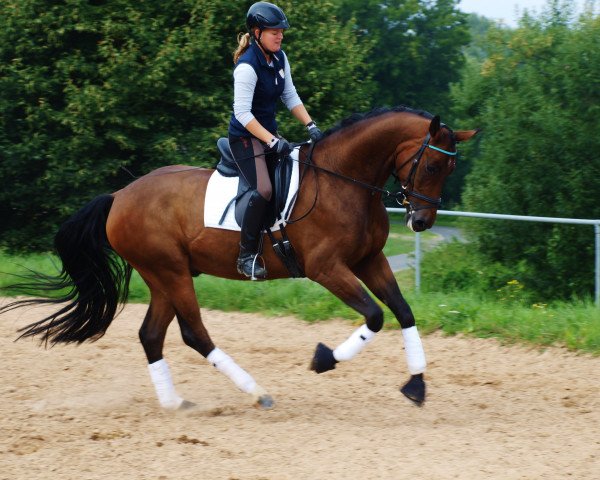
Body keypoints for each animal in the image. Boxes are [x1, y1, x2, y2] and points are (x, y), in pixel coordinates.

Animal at [0, 108, 478, 408]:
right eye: (432, 166)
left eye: (449, 169)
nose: (421, 221)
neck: (344, 180)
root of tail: (119, 196)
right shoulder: (327, 269)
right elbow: (376, 316)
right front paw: (324, 359)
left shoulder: (369, 261)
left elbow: (403, 310)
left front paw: (416, 385)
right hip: (169, 272)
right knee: (194, 333)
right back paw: (255, 392)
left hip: (164, 276)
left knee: (152, 335)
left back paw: (175, 403)